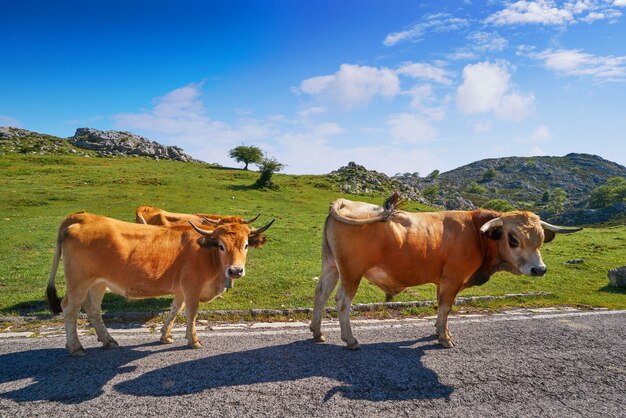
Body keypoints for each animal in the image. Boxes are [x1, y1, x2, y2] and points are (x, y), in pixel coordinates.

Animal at [47, 212, 272, 356]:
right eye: (221, 246)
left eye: (246, 245)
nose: (235, 270)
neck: (207, 254)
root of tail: (82, 216)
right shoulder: (192, 286)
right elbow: (191, 313)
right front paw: (193, 340)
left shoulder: (181, 289)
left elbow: (175, 310)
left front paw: (165, 335)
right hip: (78, 282)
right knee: (70, 309)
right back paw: (76, 347)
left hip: (97, 283)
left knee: (93, 309)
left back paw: (108, 340)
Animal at [310, 193, 576, 350]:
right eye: (513, 239)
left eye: (540, 239)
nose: (539, 269)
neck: (476, 233)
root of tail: (346, 202)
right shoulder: (453, 278)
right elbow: (446, 307)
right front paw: (444, 338)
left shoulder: (443, 280)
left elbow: (441, 308)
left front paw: (439, 330)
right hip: (351, 273)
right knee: (342, 301)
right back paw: (350, 340)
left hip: (331, 265)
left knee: (321, 294)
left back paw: (317, 332)